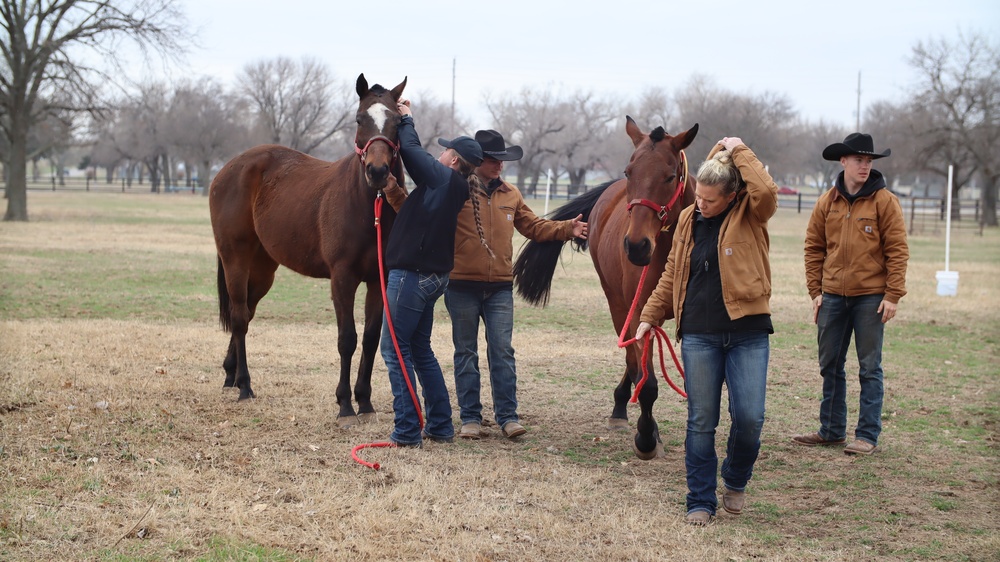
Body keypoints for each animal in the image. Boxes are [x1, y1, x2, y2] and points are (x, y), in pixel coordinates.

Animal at [209, 74, 408, 424]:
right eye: (360, 119)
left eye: (397, 121)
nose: (378, 172)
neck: (366, 205)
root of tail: (228, 169)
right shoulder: (342, 279)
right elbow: (347, 339)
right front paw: (345, 405)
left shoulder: (377, 280)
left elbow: (370, 339)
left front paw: (365, 402)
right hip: (236, 259)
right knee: (240, 317)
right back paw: (245, 385)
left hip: (263, 270)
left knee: (245, 311)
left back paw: (231, 374)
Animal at [516, 116, 696, 458]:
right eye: (629, 172)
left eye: (669, 177)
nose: (636, 246)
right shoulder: (637, 311)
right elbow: (646, 380)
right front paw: (646, 437)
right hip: (616, 302)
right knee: (632, 360)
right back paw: (622, 410)